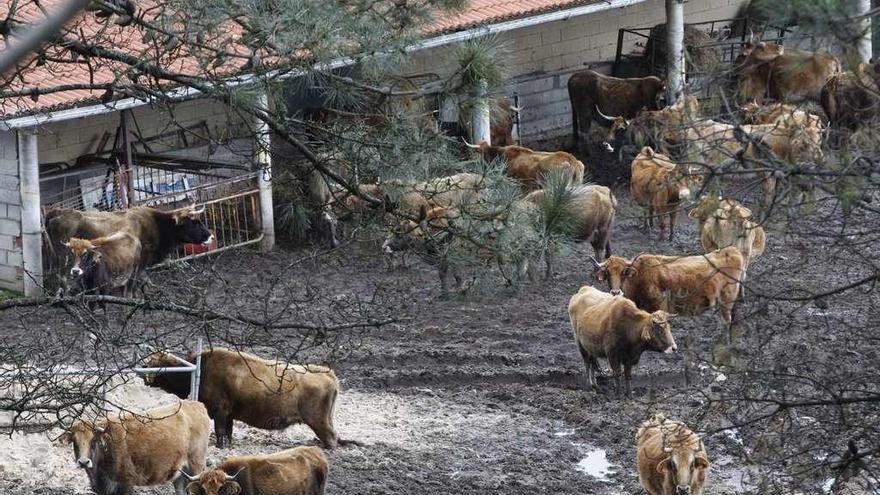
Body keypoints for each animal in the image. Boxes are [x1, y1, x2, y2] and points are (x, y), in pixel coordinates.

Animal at [59, 400, 210, 495]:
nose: (83, 462)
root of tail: (197, 405)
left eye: (94, 440)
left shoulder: (126, 484)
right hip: (179, 473)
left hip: (196, 465)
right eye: (74, 441)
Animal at [142, 348, 339, 448]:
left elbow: (220, 431)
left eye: (155, 363)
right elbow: (228, 433)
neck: (201, 370)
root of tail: (328, 373)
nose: (143, 370)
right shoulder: (229, 415)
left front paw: (219, 446)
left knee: (331, 438)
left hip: (318, 421)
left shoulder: (220, 412)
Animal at [592, 246, 744, 342]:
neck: (639, 277)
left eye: (623, 272)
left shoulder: (658, 305)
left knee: (726, 321)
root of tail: (731, 251)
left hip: (726, 300)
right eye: (607, 273)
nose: (615, 292)